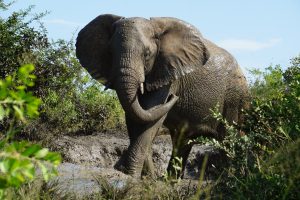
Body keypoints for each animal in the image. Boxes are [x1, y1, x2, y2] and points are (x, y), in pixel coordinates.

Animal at [75, 13, 248, 177]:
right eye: (110, 53)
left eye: (147, 54)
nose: (174, 97)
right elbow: (134, 117)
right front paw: (145, 177)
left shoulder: (169, 74)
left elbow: (152, 115)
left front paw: (129, 174)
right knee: (183, 141)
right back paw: (170, 181)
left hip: (235, 99)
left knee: (229, 140)